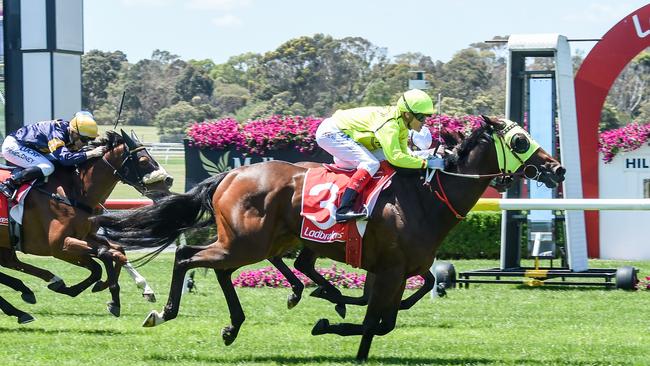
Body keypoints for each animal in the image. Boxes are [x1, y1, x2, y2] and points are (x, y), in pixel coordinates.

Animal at [0, 130, 172, 318]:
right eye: (143, 161)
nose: (168, 180)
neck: (74, 191)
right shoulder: (58, 246)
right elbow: (103, 259)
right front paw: (105, 292)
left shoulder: (85, 236)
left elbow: (116, 251)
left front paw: (118, 293)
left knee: (10, 263)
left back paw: (28, 295)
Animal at [95, 117, 560, 360]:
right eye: (520, 139)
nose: (557, 169)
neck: (426, 196)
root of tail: (230, 174)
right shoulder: (390, 270)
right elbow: (377, 320)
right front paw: (338, 331)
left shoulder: (400, 269)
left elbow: (400, 306)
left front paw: (332, 315)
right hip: (246, 242)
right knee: (189, 256)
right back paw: (165, 311)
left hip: (255, 243)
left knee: (219, 266)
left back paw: (237, 324)